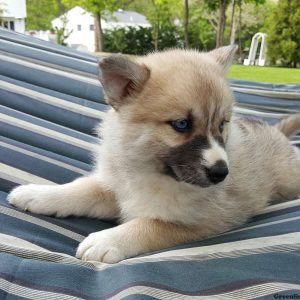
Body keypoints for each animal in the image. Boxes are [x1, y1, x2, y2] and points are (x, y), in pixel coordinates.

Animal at [7, 45, 300, 264]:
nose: (221, 173)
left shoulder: (200, 222)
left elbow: (150, 225)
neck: (150, 171)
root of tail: (277, 133)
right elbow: (80, 190)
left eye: (222, 125)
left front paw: (106, 240)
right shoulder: (116, 190)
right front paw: (37, 194)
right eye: (181, 124)